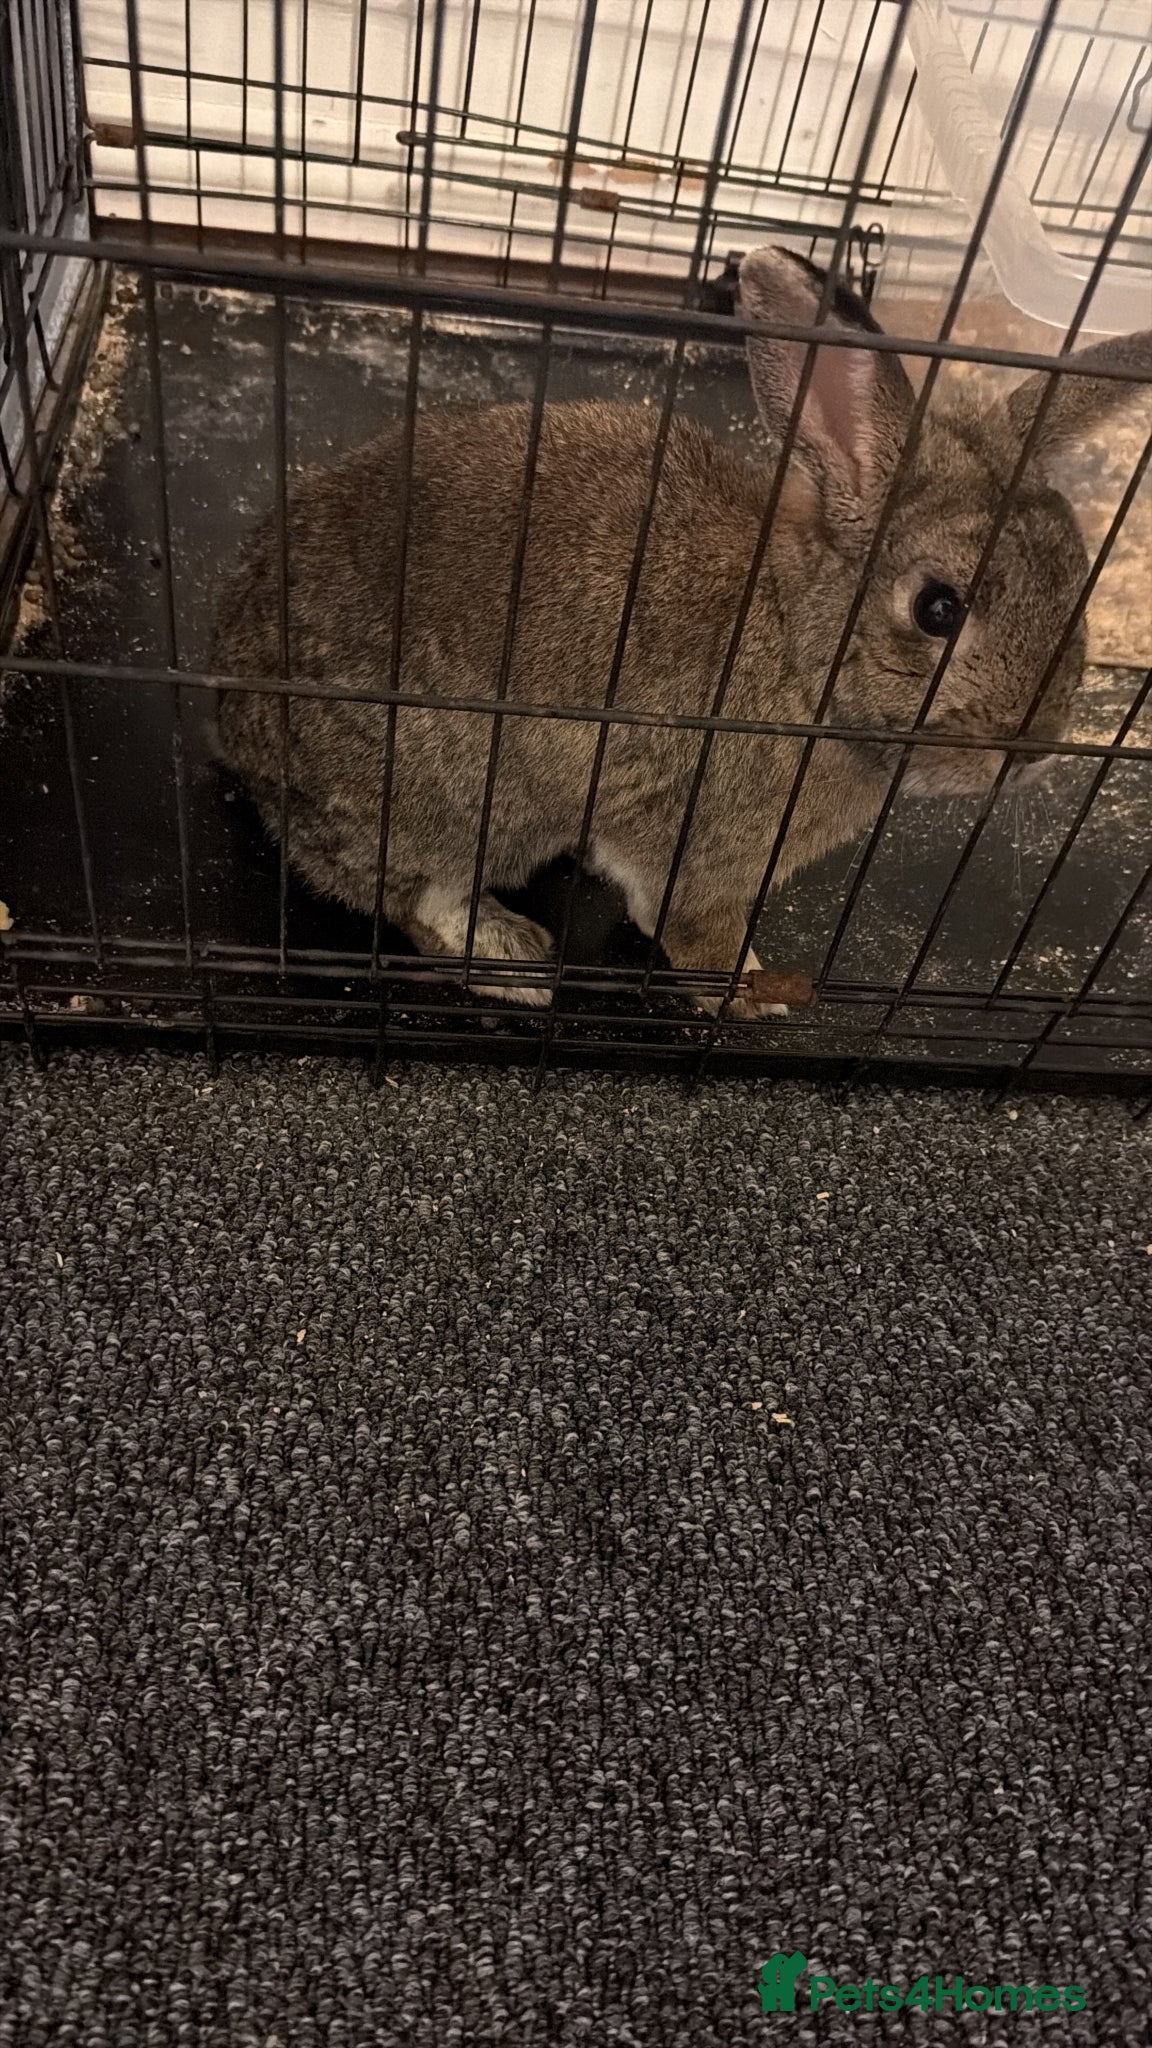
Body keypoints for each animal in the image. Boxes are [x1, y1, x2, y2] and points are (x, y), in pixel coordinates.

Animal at [214, 246, 1152, 1014]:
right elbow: (688, 924)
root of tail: (239, 729)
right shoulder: (696, 842)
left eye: (1077, 581)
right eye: (938, 610)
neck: (800, 649)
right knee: (414, 901)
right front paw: (755, 994)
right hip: (449, 799)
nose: (1034, 750)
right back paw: (515, 962)